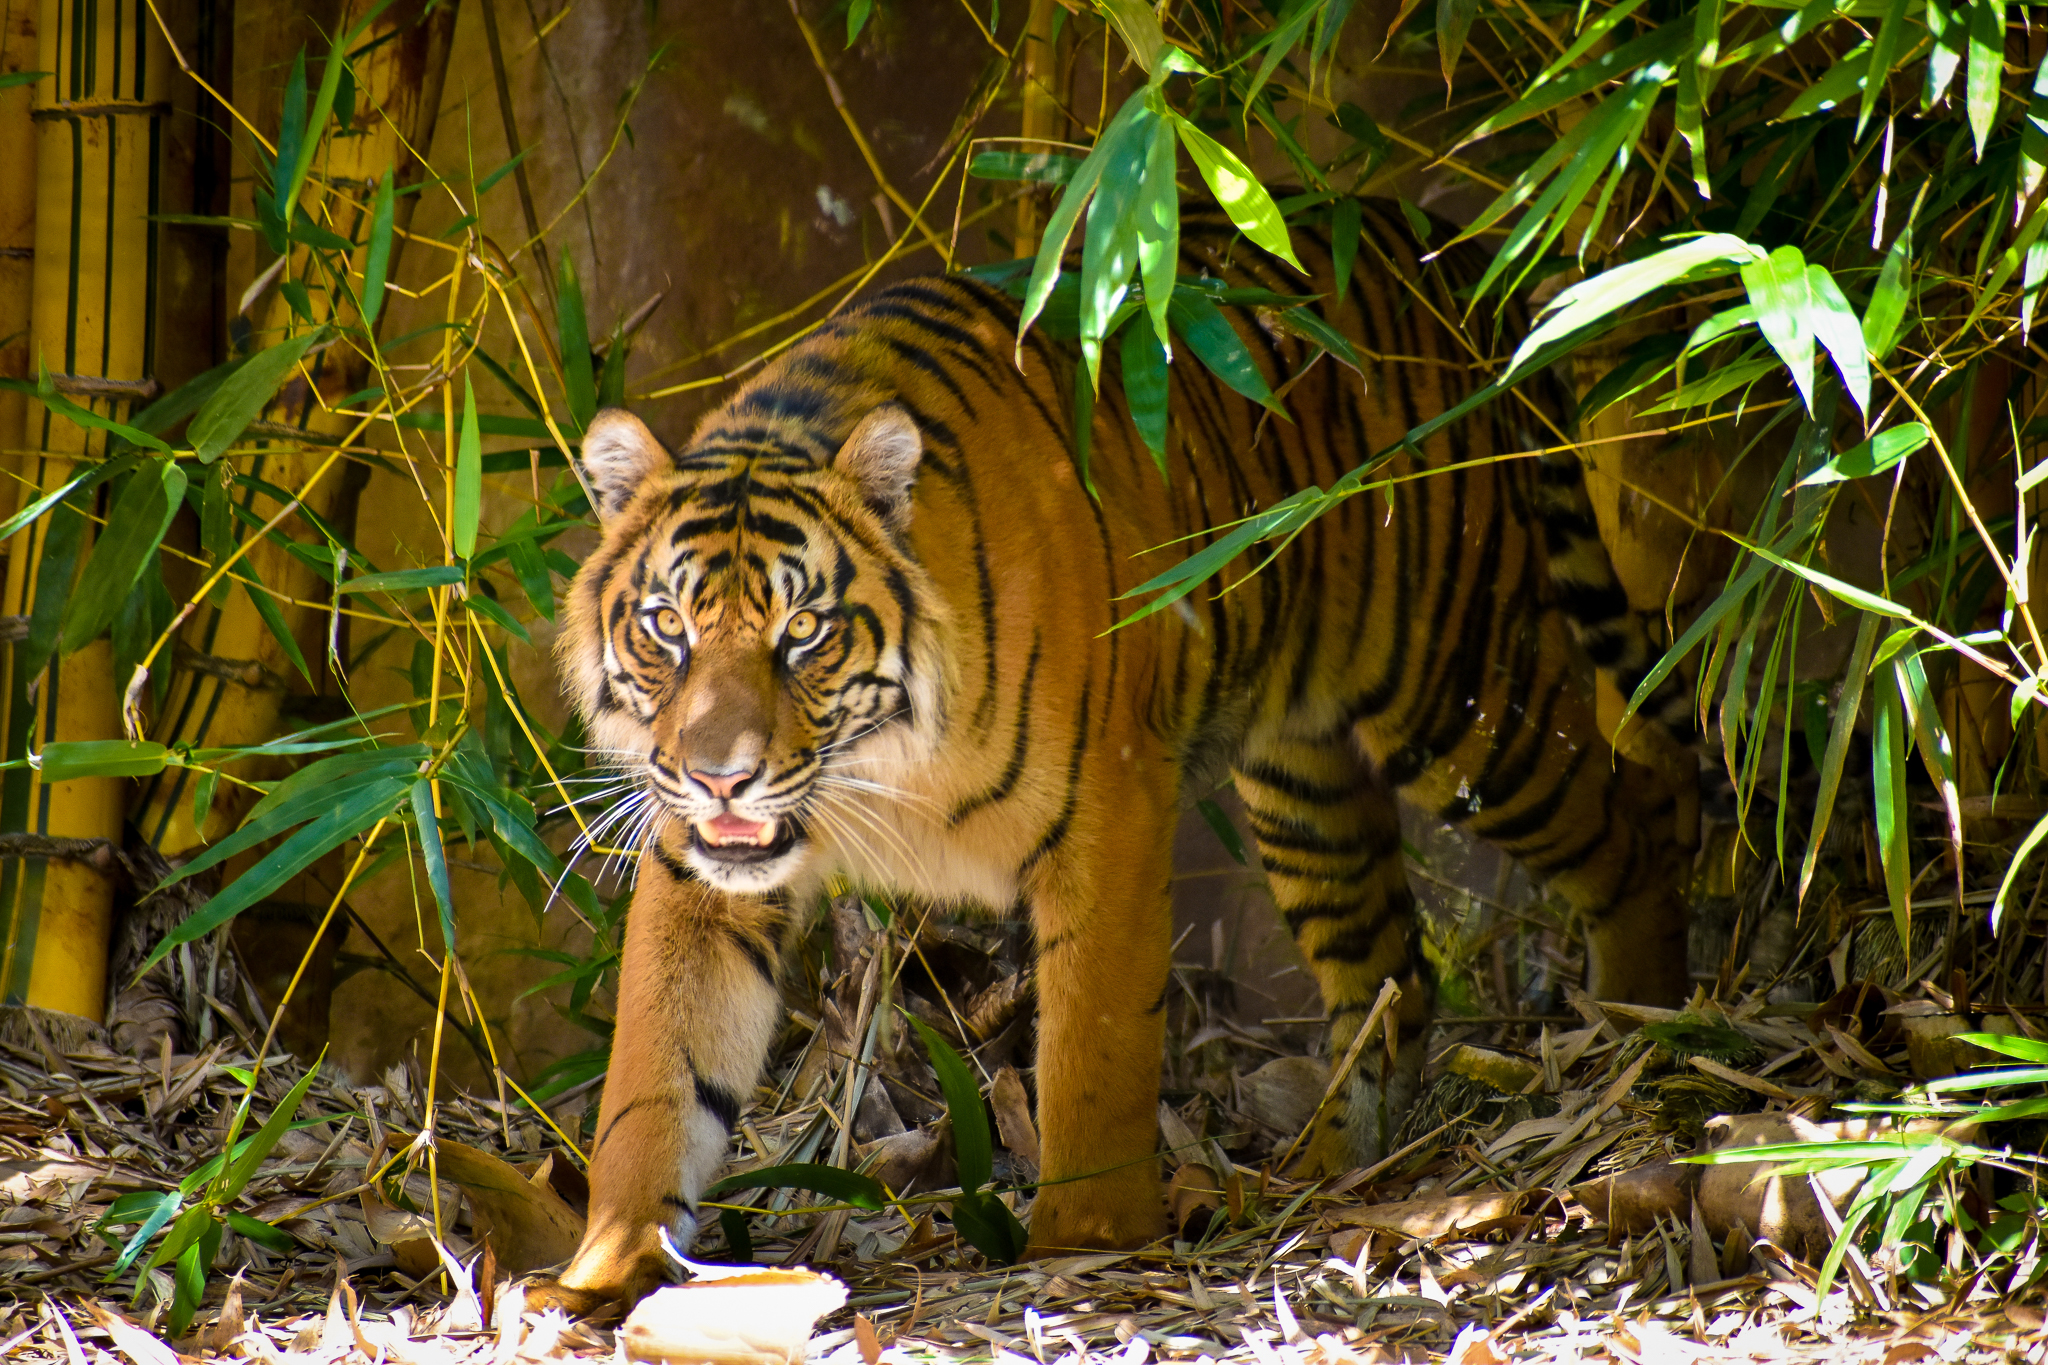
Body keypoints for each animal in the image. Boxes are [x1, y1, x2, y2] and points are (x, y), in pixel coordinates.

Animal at [536, 199, 1694, 1311]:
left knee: (1630, 824)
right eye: (667, 628)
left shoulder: (1106, 809)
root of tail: (1426, 249)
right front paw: (603, 1265)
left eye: (804, 632)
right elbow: (655, 1072)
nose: (720, 775)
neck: (882, 769)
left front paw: (1078, 1247)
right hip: (1299, 775)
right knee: (1389, 961)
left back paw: (1652, 1039)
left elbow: (1091, 1041)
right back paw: (1322, 1169)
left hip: (1459, 697)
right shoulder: (700, 868)